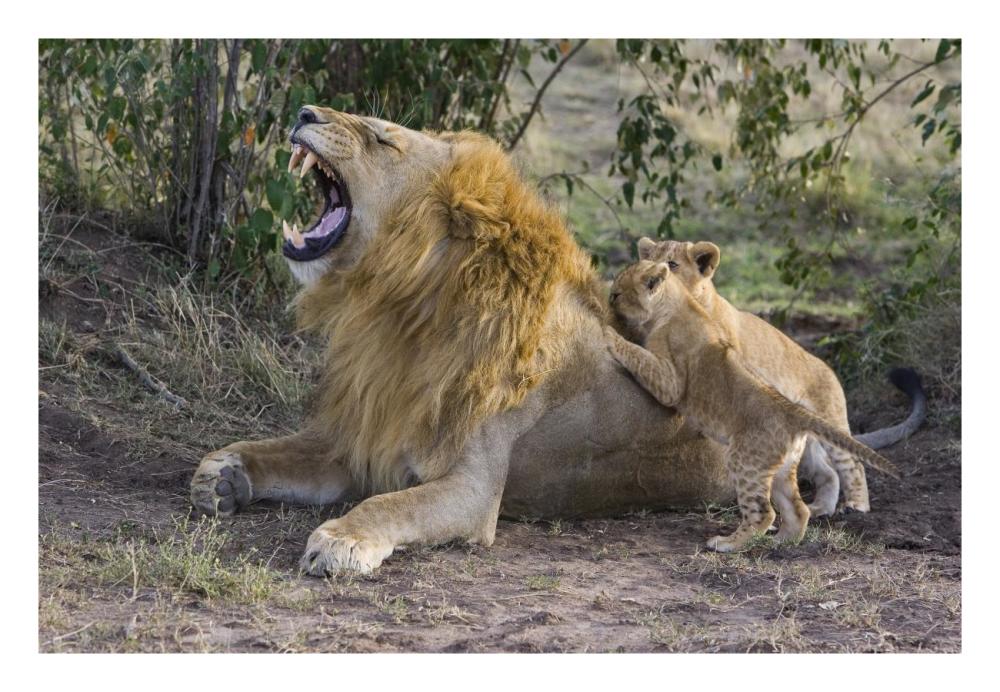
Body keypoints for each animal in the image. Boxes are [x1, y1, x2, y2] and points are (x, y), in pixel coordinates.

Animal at [634, 237, 925, 516]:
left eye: (672, 264)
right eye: (647, 259)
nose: (650, 276)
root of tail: (829, 369)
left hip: (830, 419)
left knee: (852, 464)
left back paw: (856, 505)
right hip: (802, 443)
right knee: (828, 473)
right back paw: (820, 509)